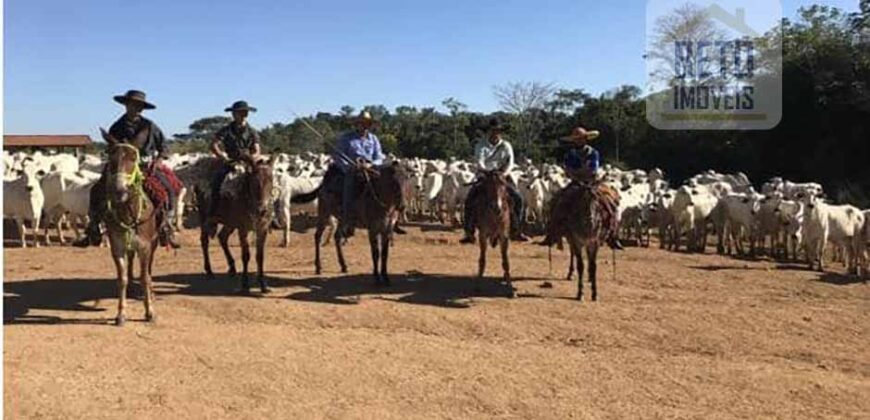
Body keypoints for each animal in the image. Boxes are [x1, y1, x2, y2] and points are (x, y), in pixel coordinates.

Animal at [101, 130, 161, 326]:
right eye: (111, 158)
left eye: (134, 158)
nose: (119, 190)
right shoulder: (117, 246)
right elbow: (123, 279)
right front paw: (121, 313)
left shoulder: (145, 246)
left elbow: (144, 277)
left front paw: (150, 311)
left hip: (154, 242)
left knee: (149, 270)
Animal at [198, 154, 276, 296]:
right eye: (255, 183)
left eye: (271, 181)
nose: (262, 210)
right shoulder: (243, 229)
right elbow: (246, 255)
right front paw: (245, 285)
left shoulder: (262, 229)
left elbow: (260, 256)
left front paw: (263, 285)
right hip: (205, 218)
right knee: (204, 241)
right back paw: (209, 271)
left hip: (230, 223)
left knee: (222, 237)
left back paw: (232, 267)